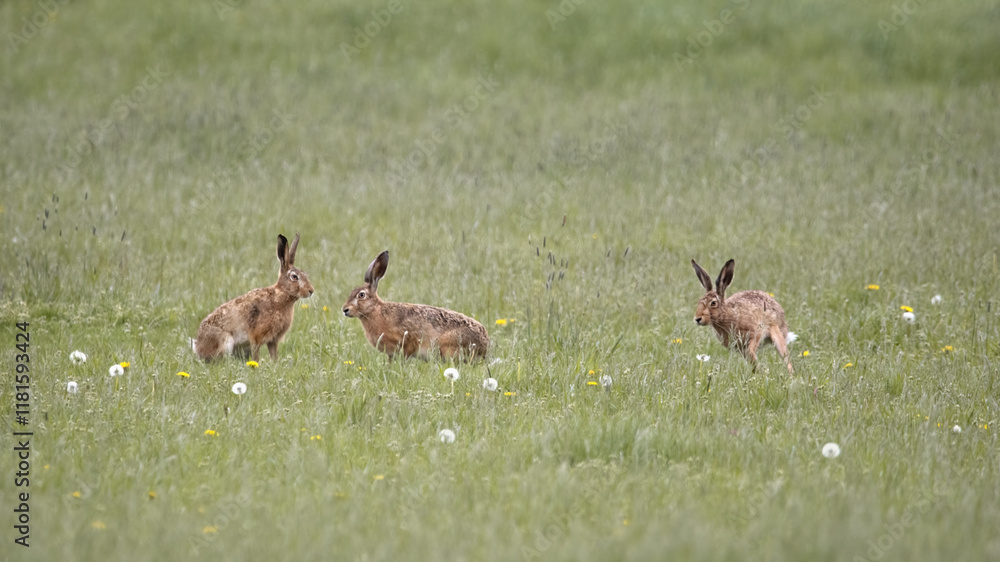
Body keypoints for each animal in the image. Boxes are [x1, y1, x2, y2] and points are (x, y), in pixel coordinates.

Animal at [194, 233, 314, 362]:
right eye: (294, 277)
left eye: (305, 274)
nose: (311, 291)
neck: (280, 295)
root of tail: (198, 347)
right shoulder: (256, 337)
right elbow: (256, 353)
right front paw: (257, 363)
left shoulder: (273, 340)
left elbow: (273, 354)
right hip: (226, 341)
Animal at [342, 251, 489, 361]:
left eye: (361, 295)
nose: (345, 310)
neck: (376, 311)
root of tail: (485, 345)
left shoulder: (406, 343)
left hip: (449, 346)